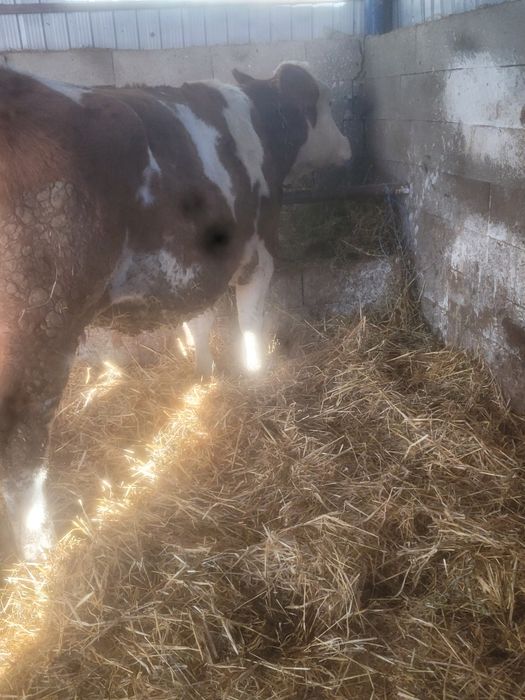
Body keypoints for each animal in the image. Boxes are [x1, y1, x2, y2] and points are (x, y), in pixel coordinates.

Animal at [0, 61, 351, 561]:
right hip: (39, 330)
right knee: (23, 447)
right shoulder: (260, 250)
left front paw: (205, 375)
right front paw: (257, 375)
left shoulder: (195, 268)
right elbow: (249, 321)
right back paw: (40, 550)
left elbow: (200, 320)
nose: (348, 147)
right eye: (322, 102)